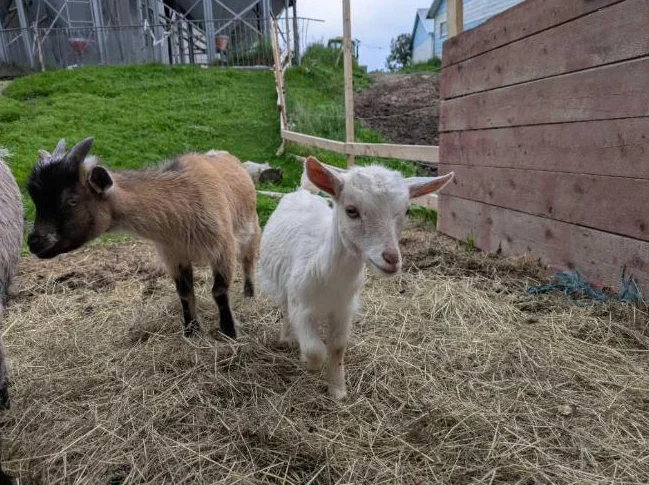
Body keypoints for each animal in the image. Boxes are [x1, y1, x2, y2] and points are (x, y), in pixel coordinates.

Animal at [27, 138, 260, 339]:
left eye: (72, 201)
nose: (34, 242)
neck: (182, 204)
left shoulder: (223, 249)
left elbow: (219, 291)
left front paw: (230, 332)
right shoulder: (174, 256)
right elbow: (185, 293)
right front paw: (191, 332)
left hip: (251, 228)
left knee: (248, 260)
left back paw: (249, 295)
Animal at [258, 156, 454, 399]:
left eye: (407, 211)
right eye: (351, 210)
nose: (391, 258)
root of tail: (304, 191)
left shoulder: (344, 308)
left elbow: (337, 347)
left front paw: (338, 390)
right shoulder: (301, 304)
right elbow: (315, 349)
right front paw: (309, 363)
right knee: (285, 309)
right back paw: (286, 338)